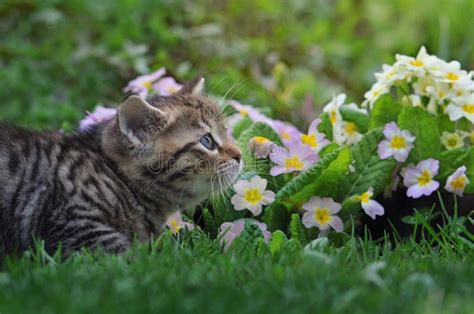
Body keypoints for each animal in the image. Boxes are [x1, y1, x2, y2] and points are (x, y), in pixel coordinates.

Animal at [0, 78, 243, 258]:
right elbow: (129, 256)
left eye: (226, 131)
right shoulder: (72, 223)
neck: (117, 177)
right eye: (207, 141)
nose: (240, 155)